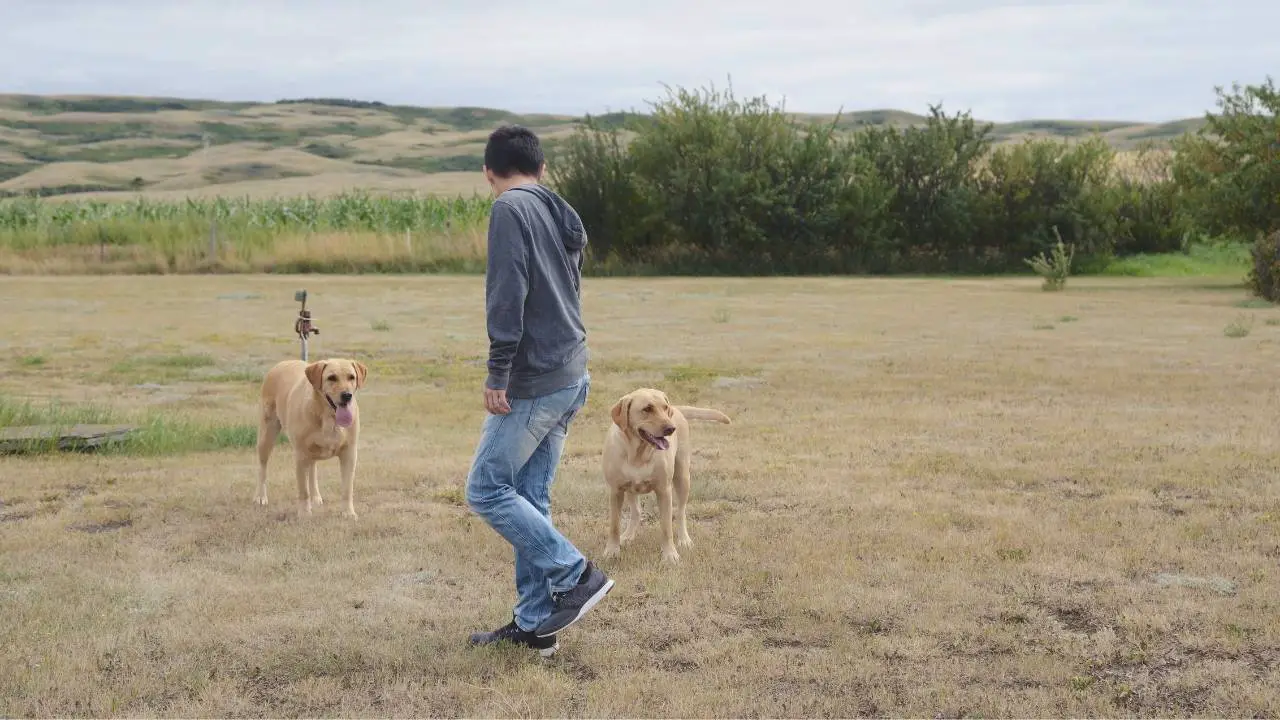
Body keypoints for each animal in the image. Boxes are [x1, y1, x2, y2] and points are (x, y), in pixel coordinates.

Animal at [252, 356, 368, 515]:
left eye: (351, 377)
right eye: (332, 378)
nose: (347, 395)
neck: (328, 417)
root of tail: (280, 364)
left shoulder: (349, 452)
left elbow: (347, 488)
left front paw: (348, 513)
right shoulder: (301, 454)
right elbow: (303, 490)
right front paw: (305, 514)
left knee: (312, 469)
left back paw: (316, 496)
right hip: (266, 435)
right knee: (262, 468)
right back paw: (260, 497)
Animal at [599, 386, 732, 561]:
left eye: (664, 407)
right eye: (647, 409)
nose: (671, 428)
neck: (638, 455)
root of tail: (677, 408)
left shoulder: (664, 490)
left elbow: (666, 527)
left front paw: (670, 554)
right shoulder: (616, 490)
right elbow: (614, 526)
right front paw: (611, 551)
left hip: (682, 478)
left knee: (681, 512)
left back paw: (684, 540)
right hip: (630, 489)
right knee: (636, 511)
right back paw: (627, 536)